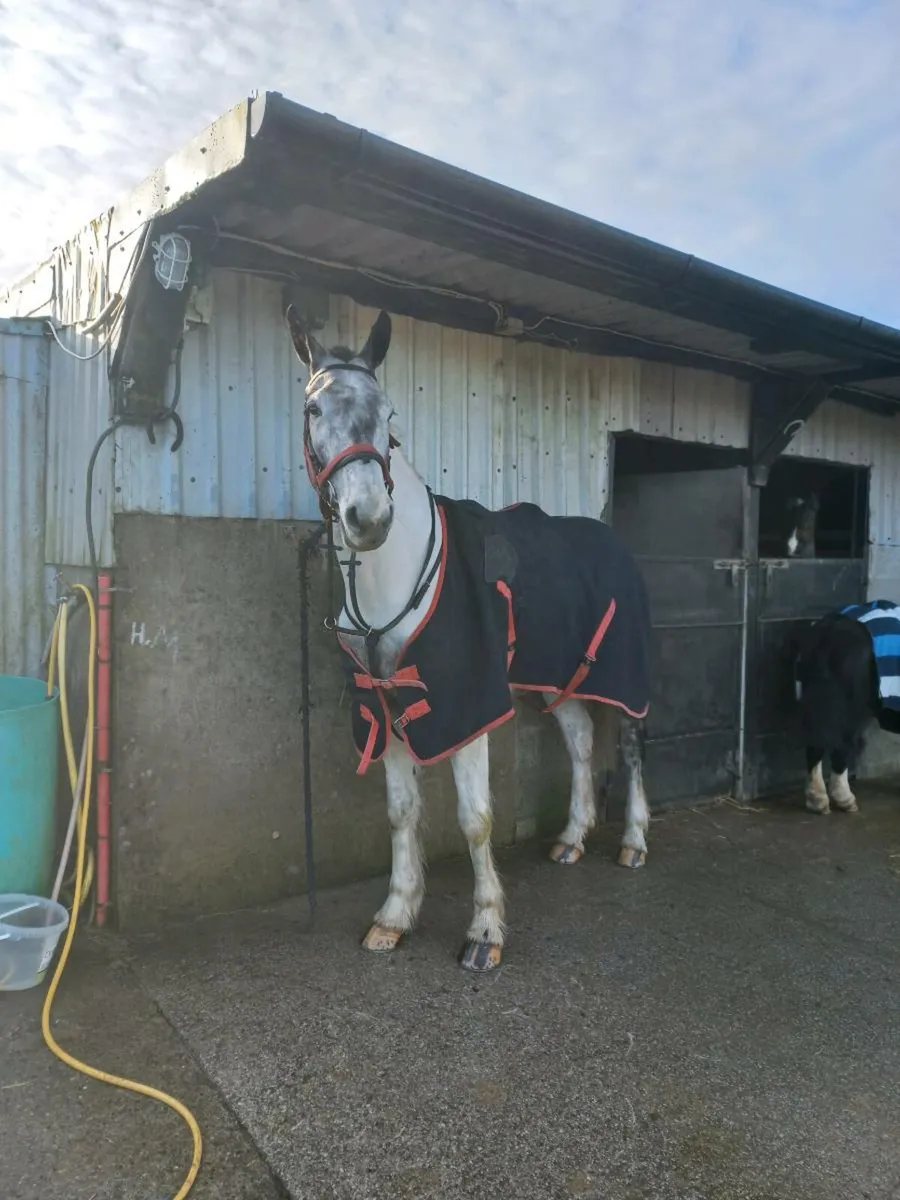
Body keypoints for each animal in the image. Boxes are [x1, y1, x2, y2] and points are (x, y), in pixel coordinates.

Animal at [285, 305, 653, 971]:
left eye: (389, 412)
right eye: (313, 409)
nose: (368, 519)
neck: (398, 575)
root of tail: (612, 540)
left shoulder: (469, 704)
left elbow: (475, 818)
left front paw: (484, 932)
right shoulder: (384, 704)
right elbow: (402, 813)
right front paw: (395, 916)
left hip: (623, 674)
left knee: (633, 746)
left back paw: (634, 841)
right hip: (555, 679)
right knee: (581, 741)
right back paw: (571, 839)